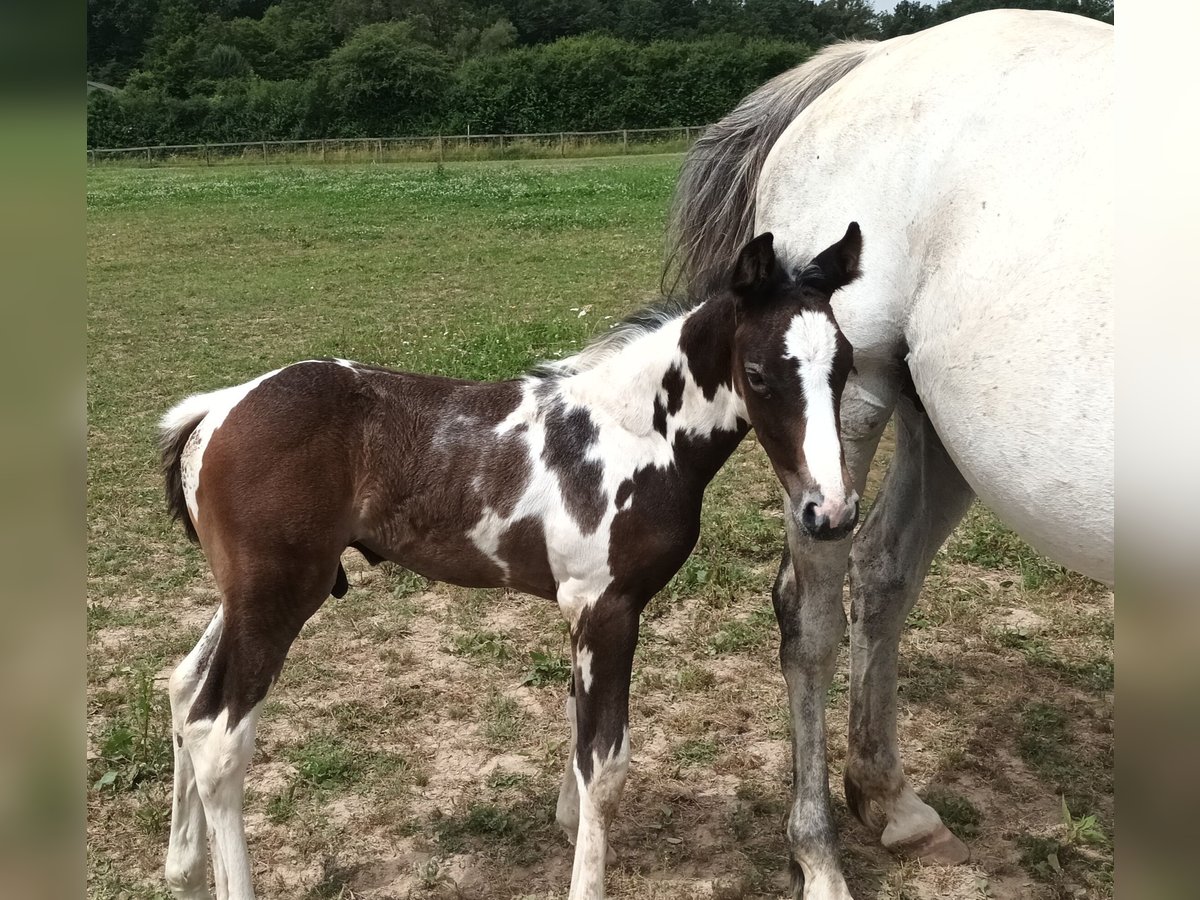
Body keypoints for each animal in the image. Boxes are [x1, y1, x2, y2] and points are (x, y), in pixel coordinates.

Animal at [162, 226, 864, 900]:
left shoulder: (584, 612)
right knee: (217, 737)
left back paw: (184, 875)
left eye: (846, 367)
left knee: (183, 691)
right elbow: (604, 766)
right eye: (760, 373)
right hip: (276, 597)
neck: (633, 433)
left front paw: (569, 825)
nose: (830, 511)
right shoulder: (606, 608)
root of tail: (219, 409)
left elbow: (578, 734)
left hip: (245, 596)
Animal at [672, 8, 1108, 900]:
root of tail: (868, 57)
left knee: (884, 570)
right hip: (855, 409)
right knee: (811, 617)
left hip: (936, 427)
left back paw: (891, 803)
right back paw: (820, 858)